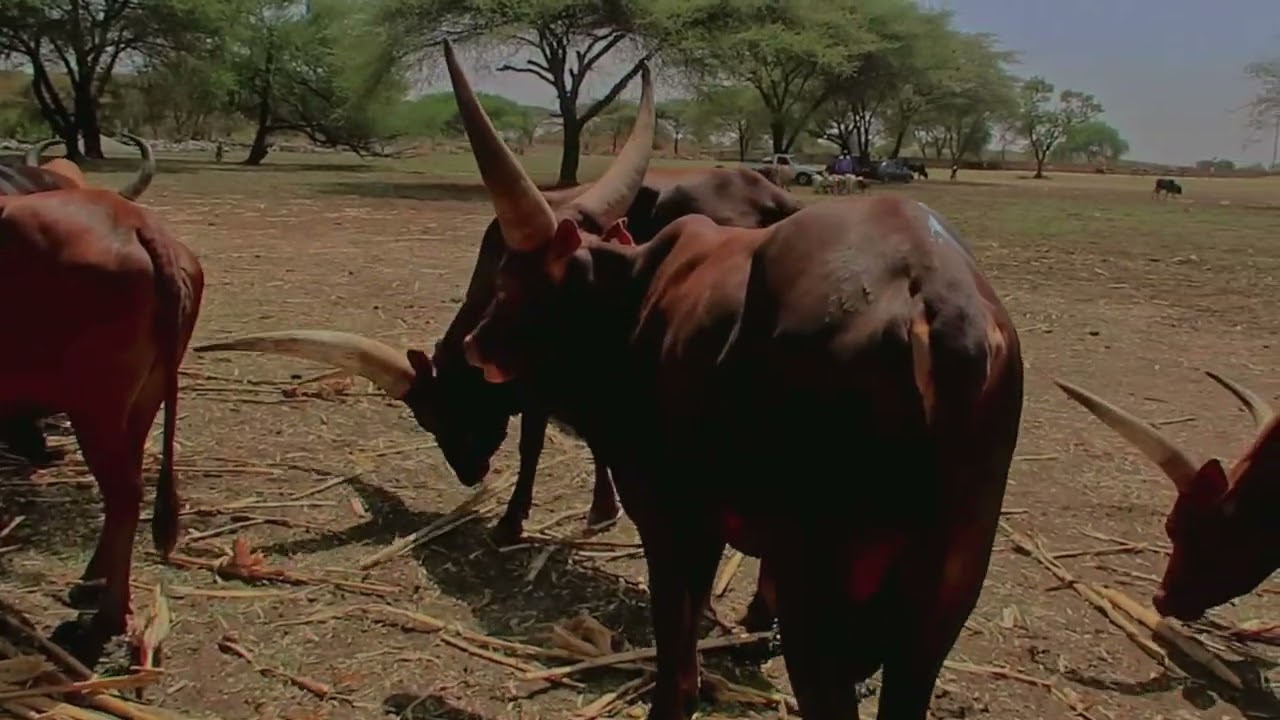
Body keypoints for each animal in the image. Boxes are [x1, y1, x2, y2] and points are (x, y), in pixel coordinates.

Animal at [0, 186, 204, 640]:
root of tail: (137, 222)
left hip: (96, 405)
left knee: (124, 494)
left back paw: (109, 610)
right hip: (143, 397)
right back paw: (95, 582)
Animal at [442, 41, 1023, 719]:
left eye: (509, 278)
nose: (475, 345)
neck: (636, 296)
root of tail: (933, 295)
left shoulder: (670, 513)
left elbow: (677, 647)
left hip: (817, 588)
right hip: (944, 590)